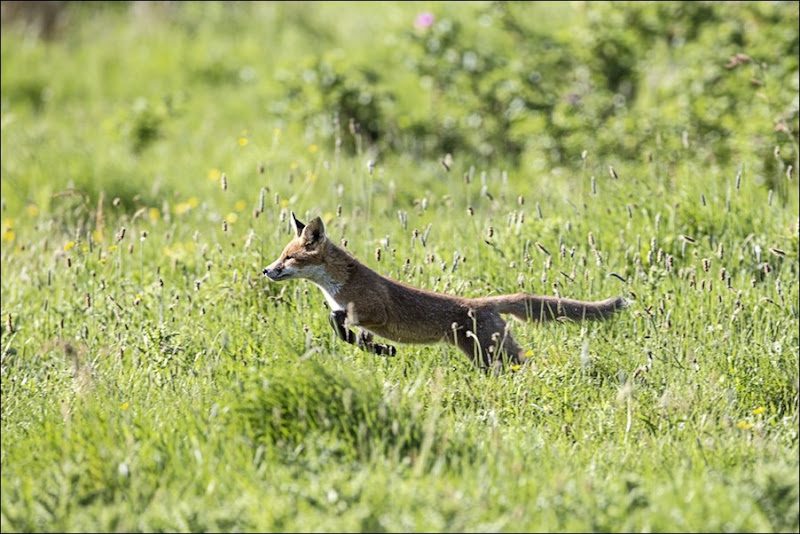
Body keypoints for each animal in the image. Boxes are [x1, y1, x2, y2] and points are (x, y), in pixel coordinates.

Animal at [262, 213, 624, 368]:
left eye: (289, 258)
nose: (266, 270)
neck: (337, 287)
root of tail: (483, 302)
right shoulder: (360, 321)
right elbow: (351, 336)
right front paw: (383, 351)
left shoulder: (373, 311)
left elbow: (339, 321)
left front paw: (380, 348)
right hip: (482, 354)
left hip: (491, 351)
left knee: (525, 361)